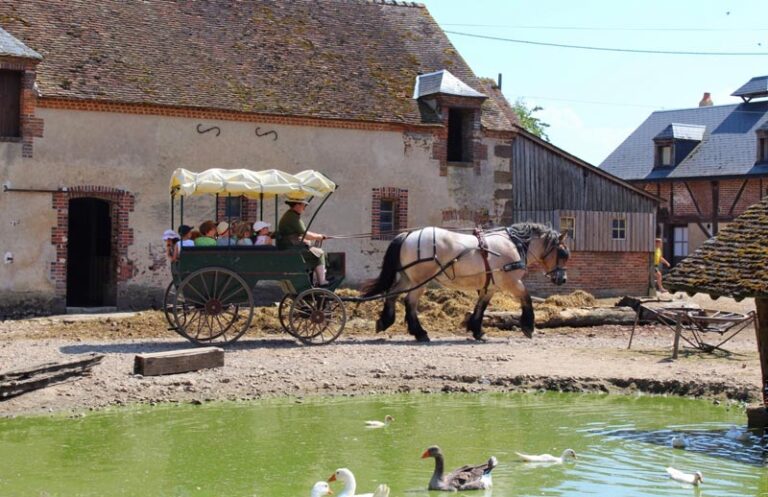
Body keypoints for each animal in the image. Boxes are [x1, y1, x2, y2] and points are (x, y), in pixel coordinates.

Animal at [362, 224, 568, 340]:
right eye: (563, 253)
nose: (562, 279)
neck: (514, 244)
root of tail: (409, 234)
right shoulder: (511, 282)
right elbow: (527, 299)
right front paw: (528, 327)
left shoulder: (490, 286)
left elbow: (481, 307)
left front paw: (477, 331)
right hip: (420, 280)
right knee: (409, 302)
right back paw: (420, 333)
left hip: (408, 277)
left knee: (392, 294)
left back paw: (385, 322)